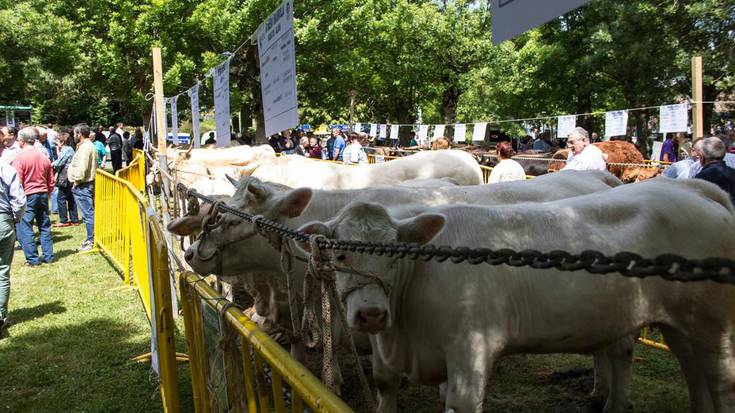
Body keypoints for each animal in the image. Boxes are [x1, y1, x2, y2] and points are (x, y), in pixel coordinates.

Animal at [298, 178, 735, 412]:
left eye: (394, 255)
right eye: (339, 254)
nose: (371, 314)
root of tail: (691, 188)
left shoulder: (472, 350)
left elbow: (461, 402)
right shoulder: (388, 355)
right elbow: (385, 385)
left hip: (714, 325)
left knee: (720, 380)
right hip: (676, 323)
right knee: (687, 370)